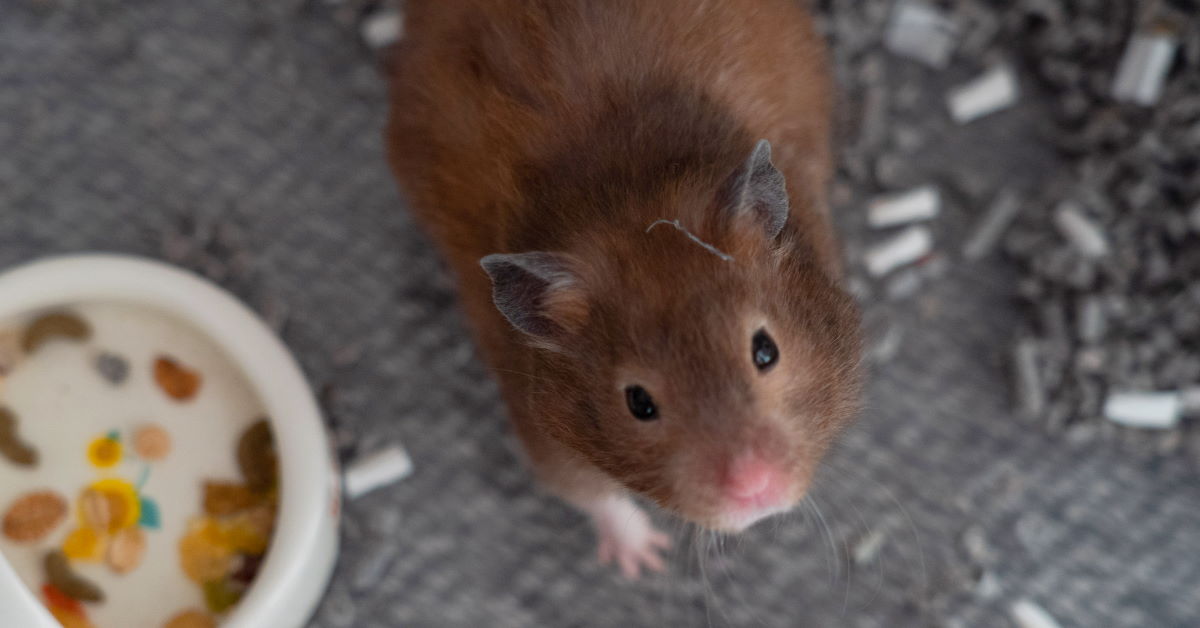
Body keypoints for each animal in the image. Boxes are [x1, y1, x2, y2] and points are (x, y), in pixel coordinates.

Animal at [386, 0, 863, 578]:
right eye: (638, 403)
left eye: (765, 352)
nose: (757, 493)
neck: (628, 195)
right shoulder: (540, 427)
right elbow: (589, 493)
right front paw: (645, 562)